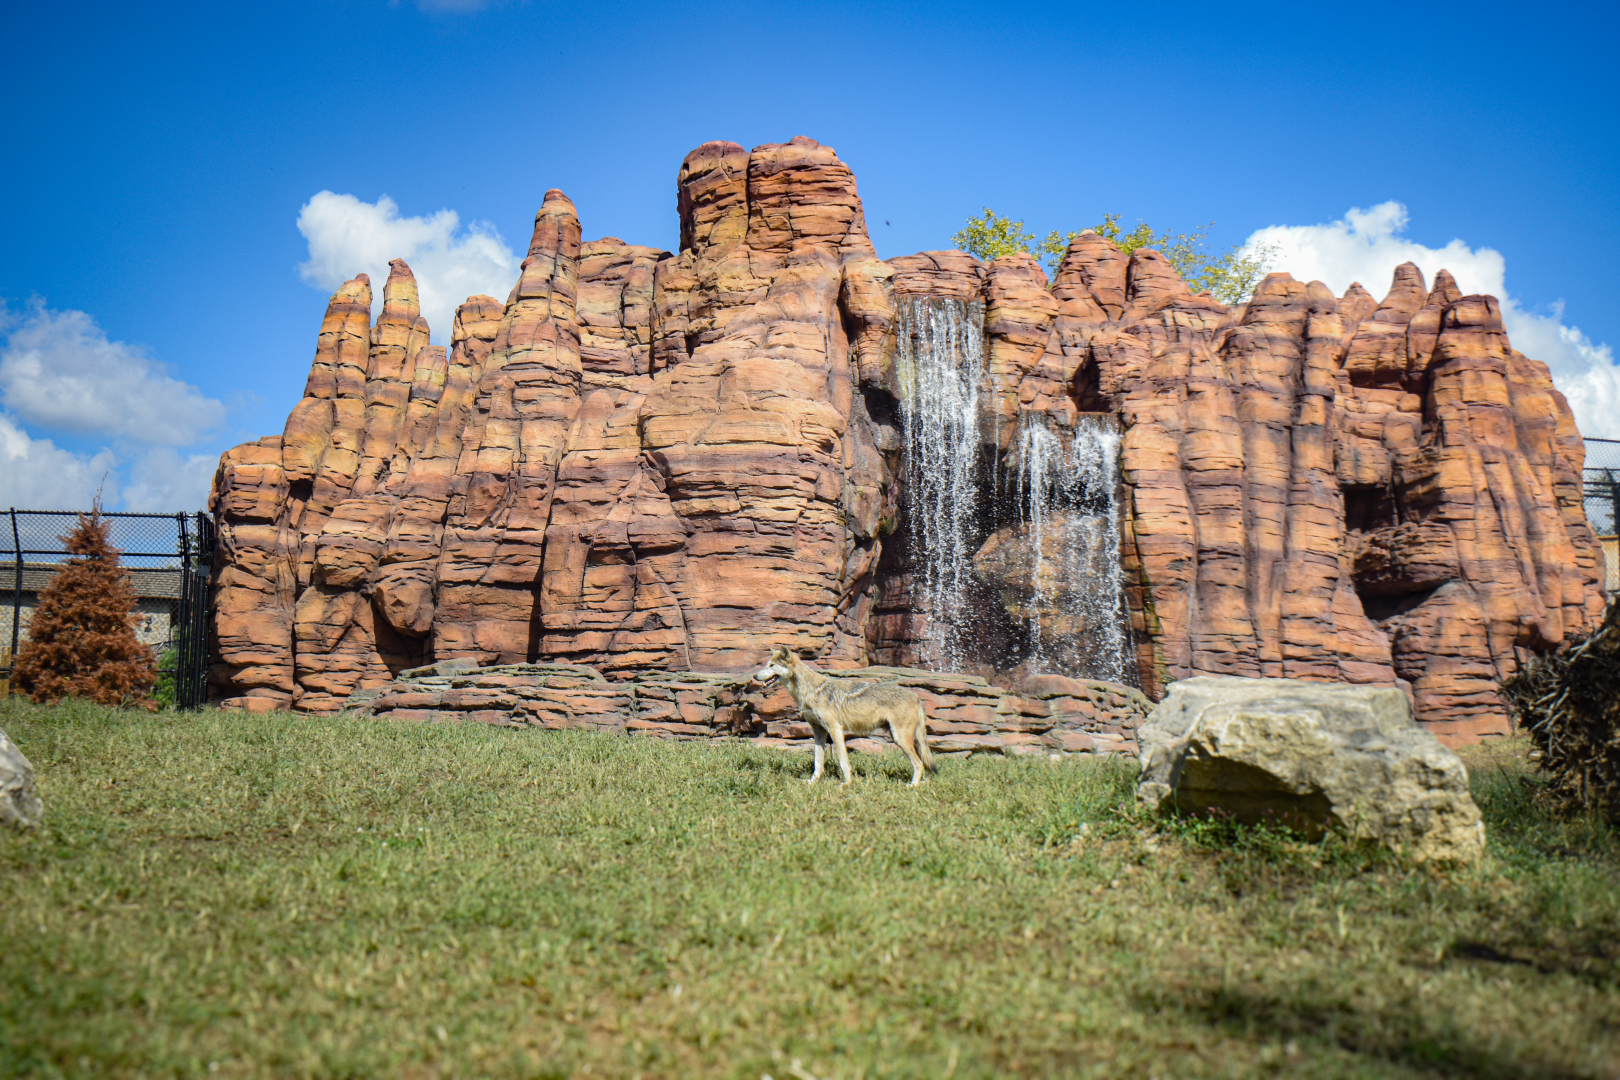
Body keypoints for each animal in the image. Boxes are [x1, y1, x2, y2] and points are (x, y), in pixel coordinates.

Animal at [753, 646, 938, 787]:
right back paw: (923, 782)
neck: (808, 691)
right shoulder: (818, 731)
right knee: (925, 762)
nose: (755, 676)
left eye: (771, 665)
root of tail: (916, 697)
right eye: (766, 665)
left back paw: (912, 786)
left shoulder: (835, 729)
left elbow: (843, 761)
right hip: (903, 738)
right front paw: (812, 782)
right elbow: (818, 762)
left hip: (900, 739)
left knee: (919, 763)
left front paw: (846, 784)